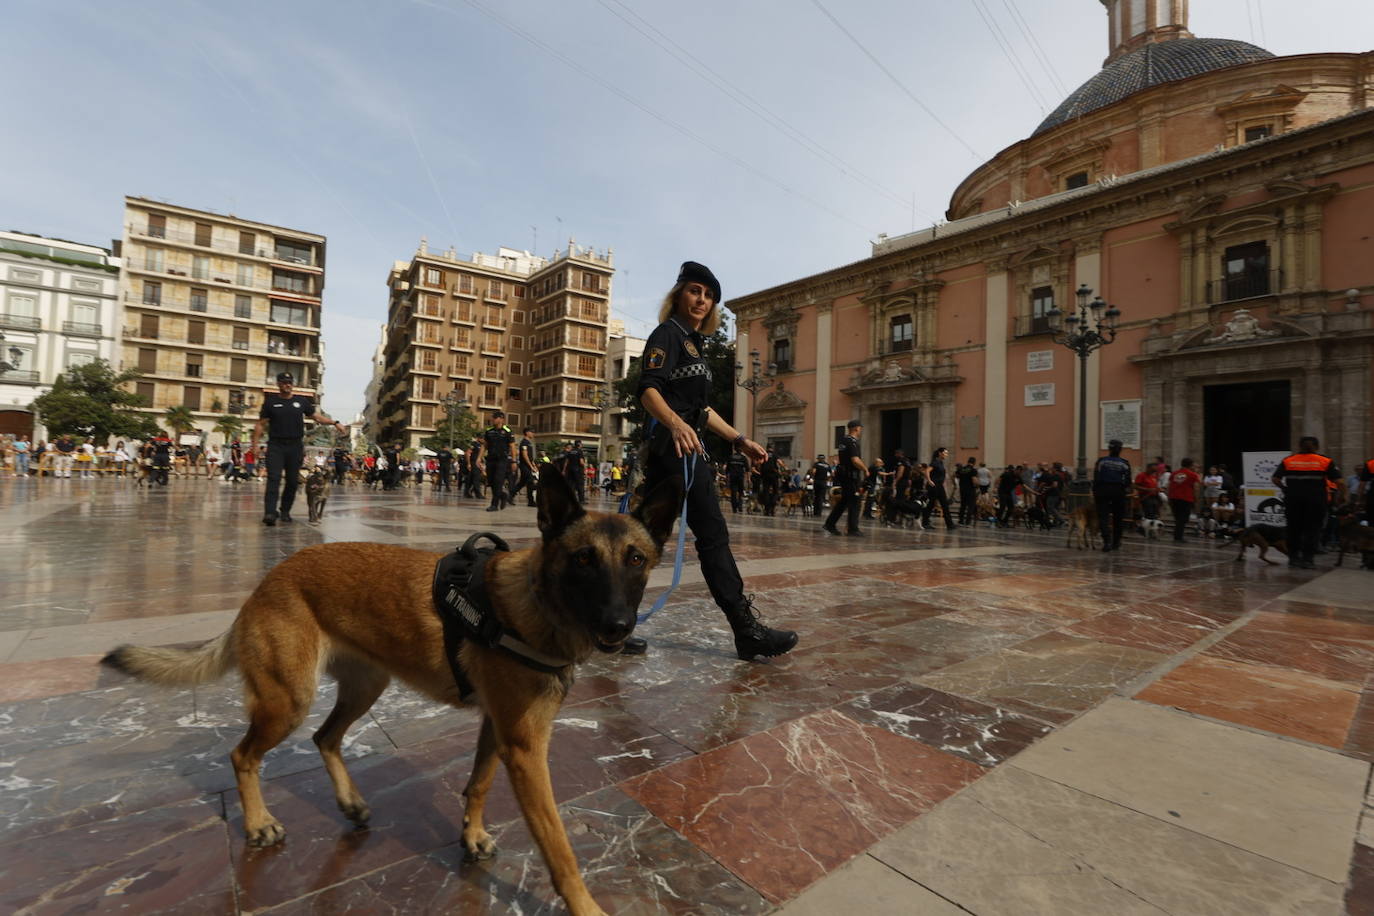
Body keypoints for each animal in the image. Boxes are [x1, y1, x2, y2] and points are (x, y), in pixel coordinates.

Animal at [100, 466, 681, 916]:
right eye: (583, 559)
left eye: (636, 560)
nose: (618, 626)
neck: (535, 603)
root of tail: (264, 582)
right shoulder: (526, 747)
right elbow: (559, 848)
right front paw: (585, 905)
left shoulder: (498, 730)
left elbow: (477, 784)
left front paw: (470, 835)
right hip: (288, 701)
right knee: (244, 754)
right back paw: (260, 823)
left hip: (366, 687)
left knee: (326, 738)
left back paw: (350, 803)